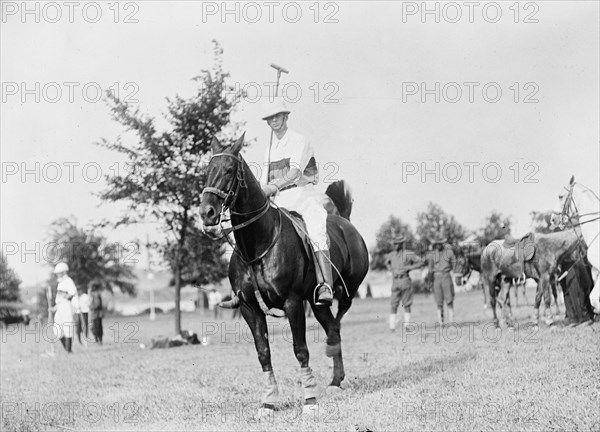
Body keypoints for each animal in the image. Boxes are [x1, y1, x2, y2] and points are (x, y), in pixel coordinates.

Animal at [199, 134, 368, 416]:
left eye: (229, 170)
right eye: (207, 170)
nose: (206, 213)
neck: (256, 245)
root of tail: (346, 222)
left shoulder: (292, 302)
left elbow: (301, 351)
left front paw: (310, 401)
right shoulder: (249, 308)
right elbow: (263, 353)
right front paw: (268, 402)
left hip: (345, 291)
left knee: (338, 319)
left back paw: (332, 359)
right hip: (315, 303)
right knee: (333, 325)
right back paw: (335, 379)